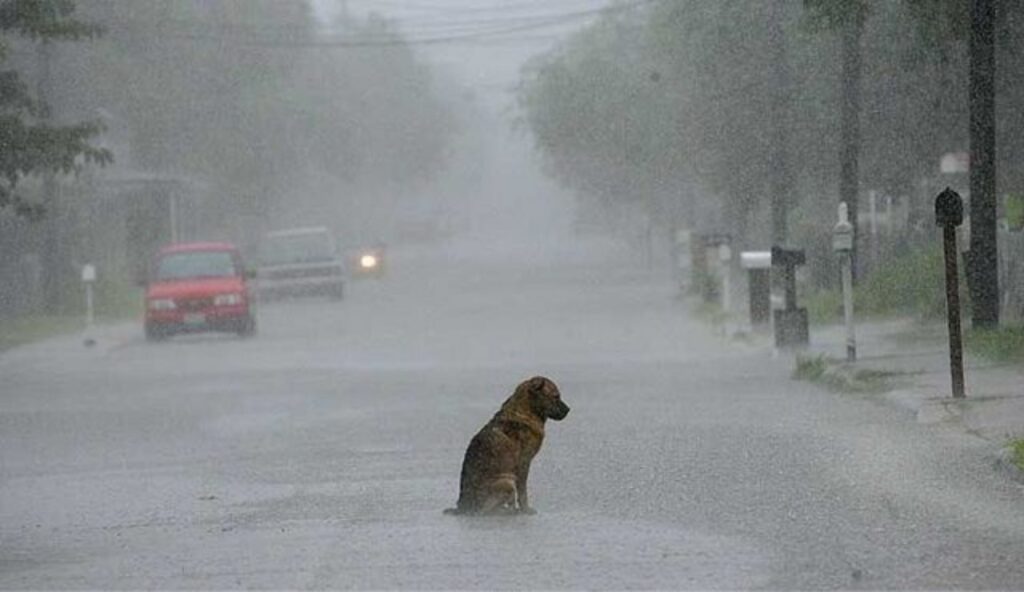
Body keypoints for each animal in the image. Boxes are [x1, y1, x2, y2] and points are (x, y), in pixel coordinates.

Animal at [440, 374, 569, 514]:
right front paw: (526, 509)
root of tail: (463, 507)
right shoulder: (524, 463)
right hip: (507, 482)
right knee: (489, 510)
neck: (526, 411)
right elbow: (522, 491)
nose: (568, 410)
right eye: (556, 396)